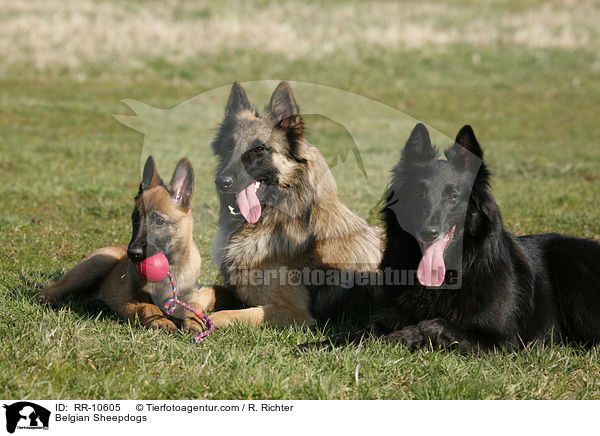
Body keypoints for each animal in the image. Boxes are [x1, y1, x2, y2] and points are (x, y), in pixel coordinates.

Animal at [310, 123, 600, 354]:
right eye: (419, 193)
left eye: (452, 196)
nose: (429, 231)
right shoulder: (381, 320)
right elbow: (349, 335)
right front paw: (313, 346)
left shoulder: (504, 342)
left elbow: (434, 324)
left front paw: (401, 337)